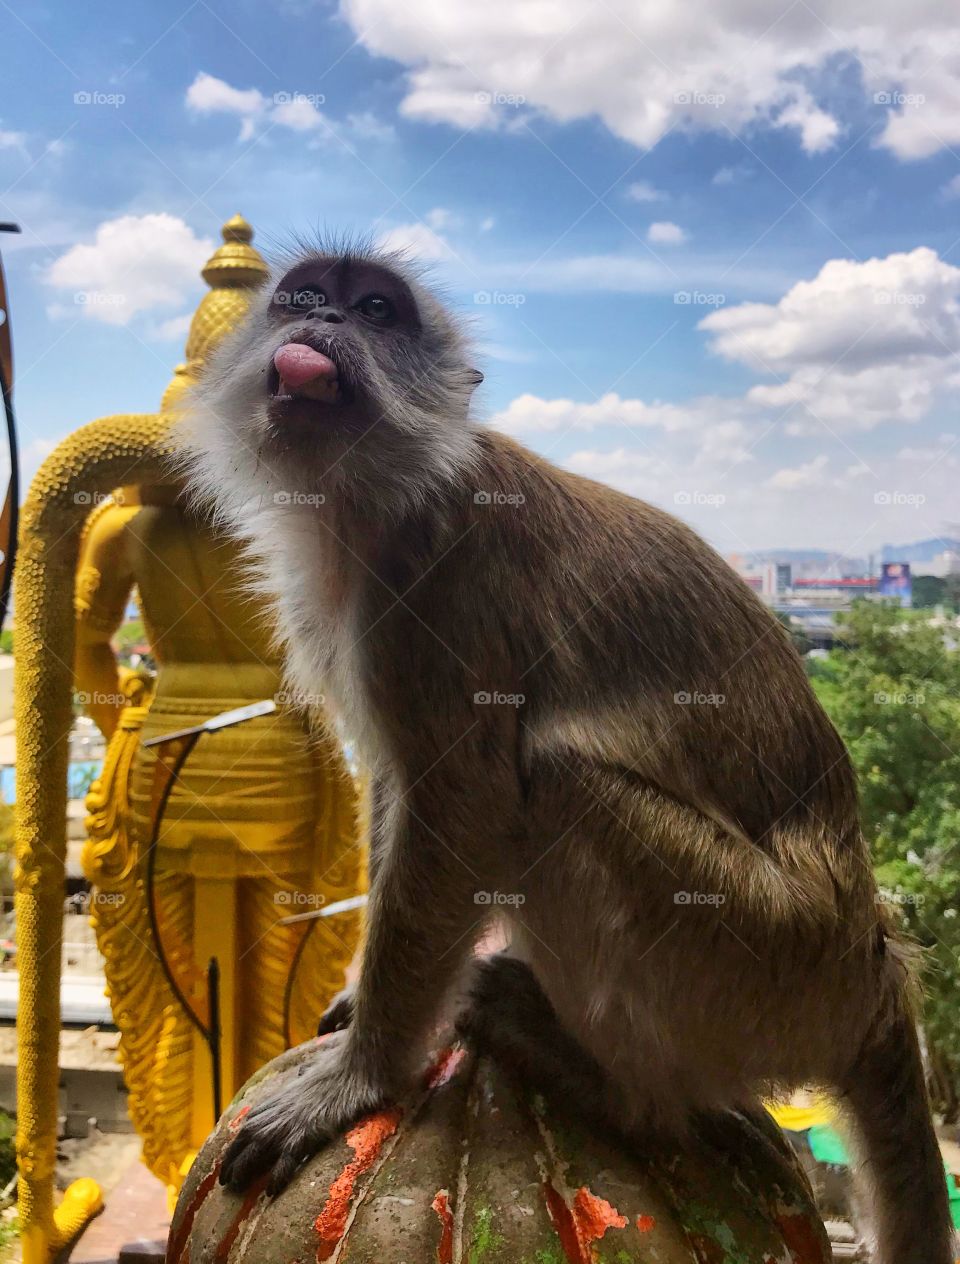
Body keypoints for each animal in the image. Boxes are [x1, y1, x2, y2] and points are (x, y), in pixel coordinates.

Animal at [180, 242, 952, 1264]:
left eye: (378, 311)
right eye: (302, 297)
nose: (324, 322)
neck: (371, 499)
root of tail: (873, 968)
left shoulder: (433, 587)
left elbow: (464, 803)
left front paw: (362, 1077)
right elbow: (397, 783)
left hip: (765, 960)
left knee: (558, 786)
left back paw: (615, 1086)